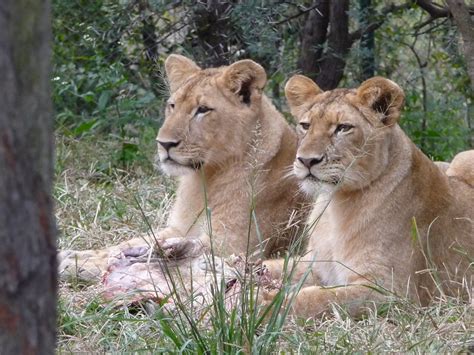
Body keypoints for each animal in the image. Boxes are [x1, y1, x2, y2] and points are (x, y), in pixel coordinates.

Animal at [58, 55, 308, 282]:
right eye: (172, 106)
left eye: (203, 109)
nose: (164, 143)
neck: (205, 179)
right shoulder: (179, 230)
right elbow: (130, 243)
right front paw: (77, 255)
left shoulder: (233, 245)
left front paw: (78, 265)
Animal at [262, 75, 474, 320]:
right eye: (306, 126)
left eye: (343, 128)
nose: (306, 160)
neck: (334, 204)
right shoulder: (316, 263)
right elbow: (270, 265)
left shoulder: (392, 292)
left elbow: (318, 299)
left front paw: (255, 304)